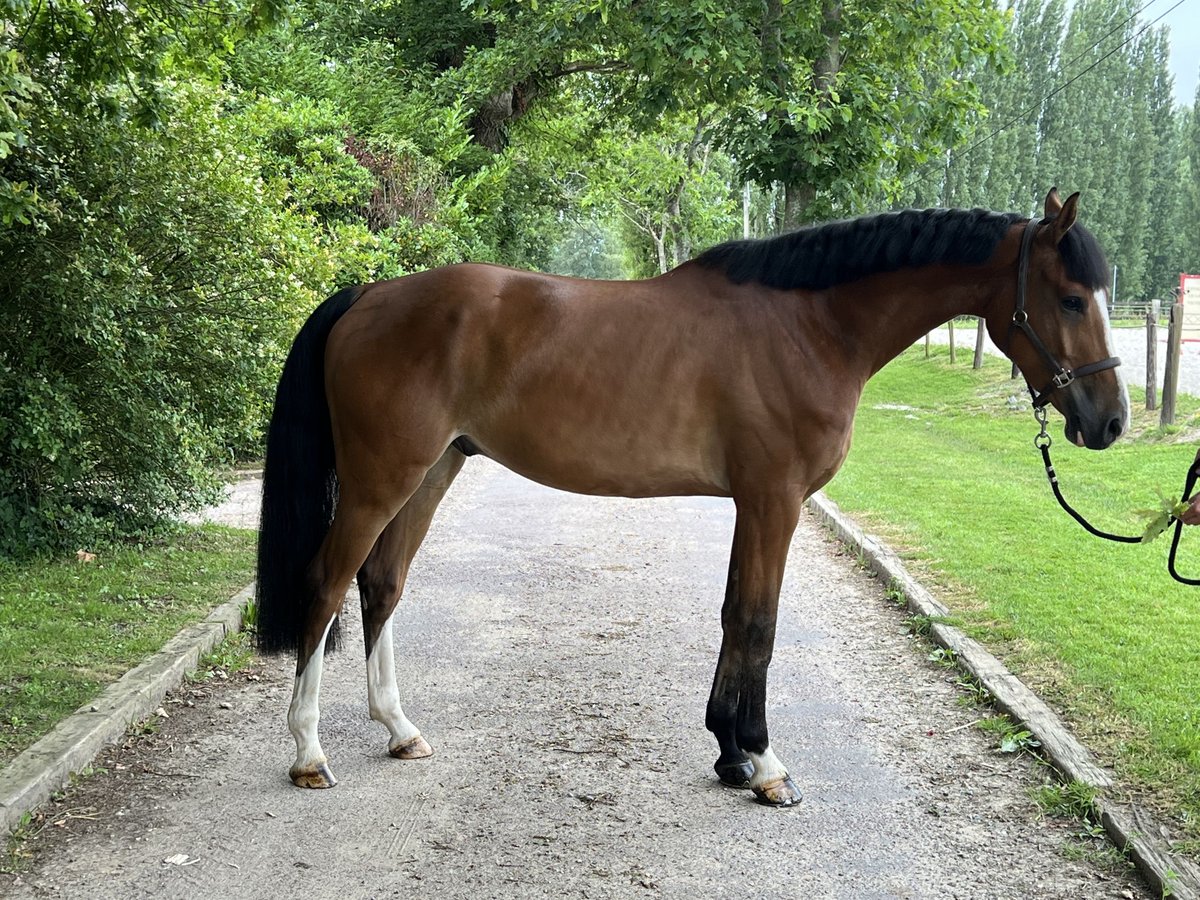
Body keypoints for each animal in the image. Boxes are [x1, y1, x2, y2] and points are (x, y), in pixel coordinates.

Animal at [253, 187, 1123, 806]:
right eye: (1072, 298)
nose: (1109, 420)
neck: (813, 325)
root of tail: (369, 294)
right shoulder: (775, 500)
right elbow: (760, 623)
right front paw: (765, 765)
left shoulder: (756, 504)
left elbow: (738, 615)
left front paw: (731, 754)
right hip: (380, 479)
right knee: (327, 586)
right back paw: (308, 753)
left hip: (432, 472)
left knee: (381, 584)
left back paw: (399, 730)